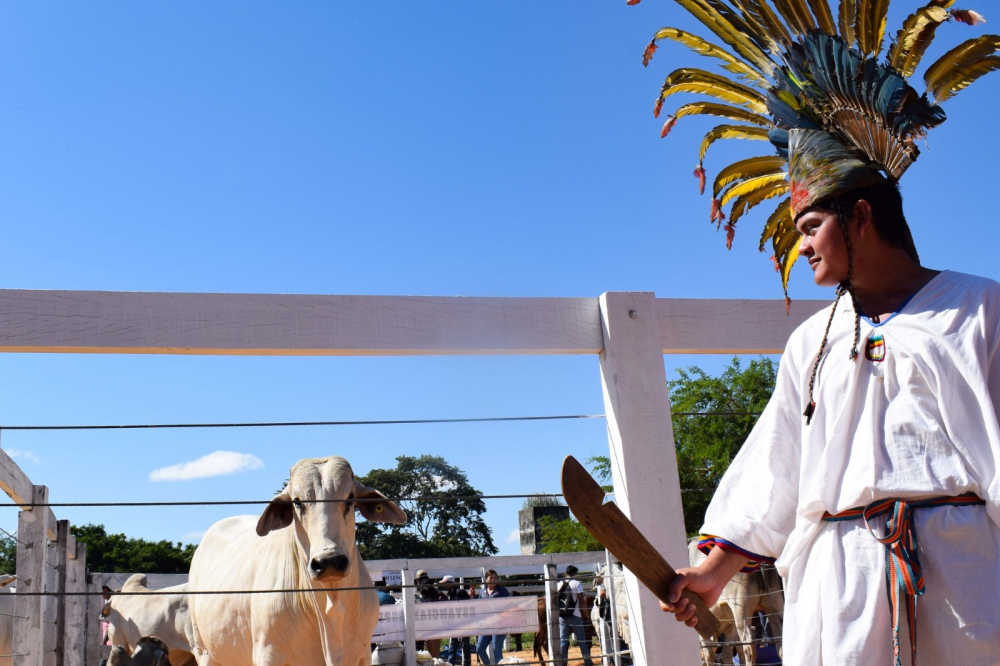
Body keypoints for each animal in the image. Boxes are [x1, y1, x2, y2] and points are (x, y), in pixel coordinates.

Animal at [188, 454, 406, 664]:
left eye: (350, 498)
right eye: (297, 501)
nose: (329, 561)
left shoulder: (363, 655)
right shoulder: (267, 655)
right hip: (205, 652)